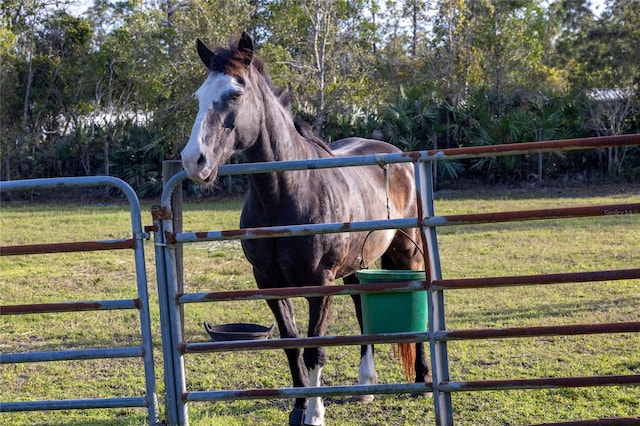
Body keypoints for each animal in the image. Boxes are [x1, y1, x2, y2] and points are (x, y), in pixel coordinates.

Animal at [180, 32, 430, 426]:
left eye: (235, 94)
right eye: (199, 96)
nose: (194, 161)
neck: (287, 193)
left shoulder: (320, 284)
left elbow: (315, 350)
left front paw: (314, 413)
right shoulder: (268, 283)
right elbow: (291, 345)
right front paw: (298, 408)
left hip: (407, 253)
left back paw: (422, 378)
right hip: (356, 266)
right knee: (361, 309)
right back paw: (366, 385)